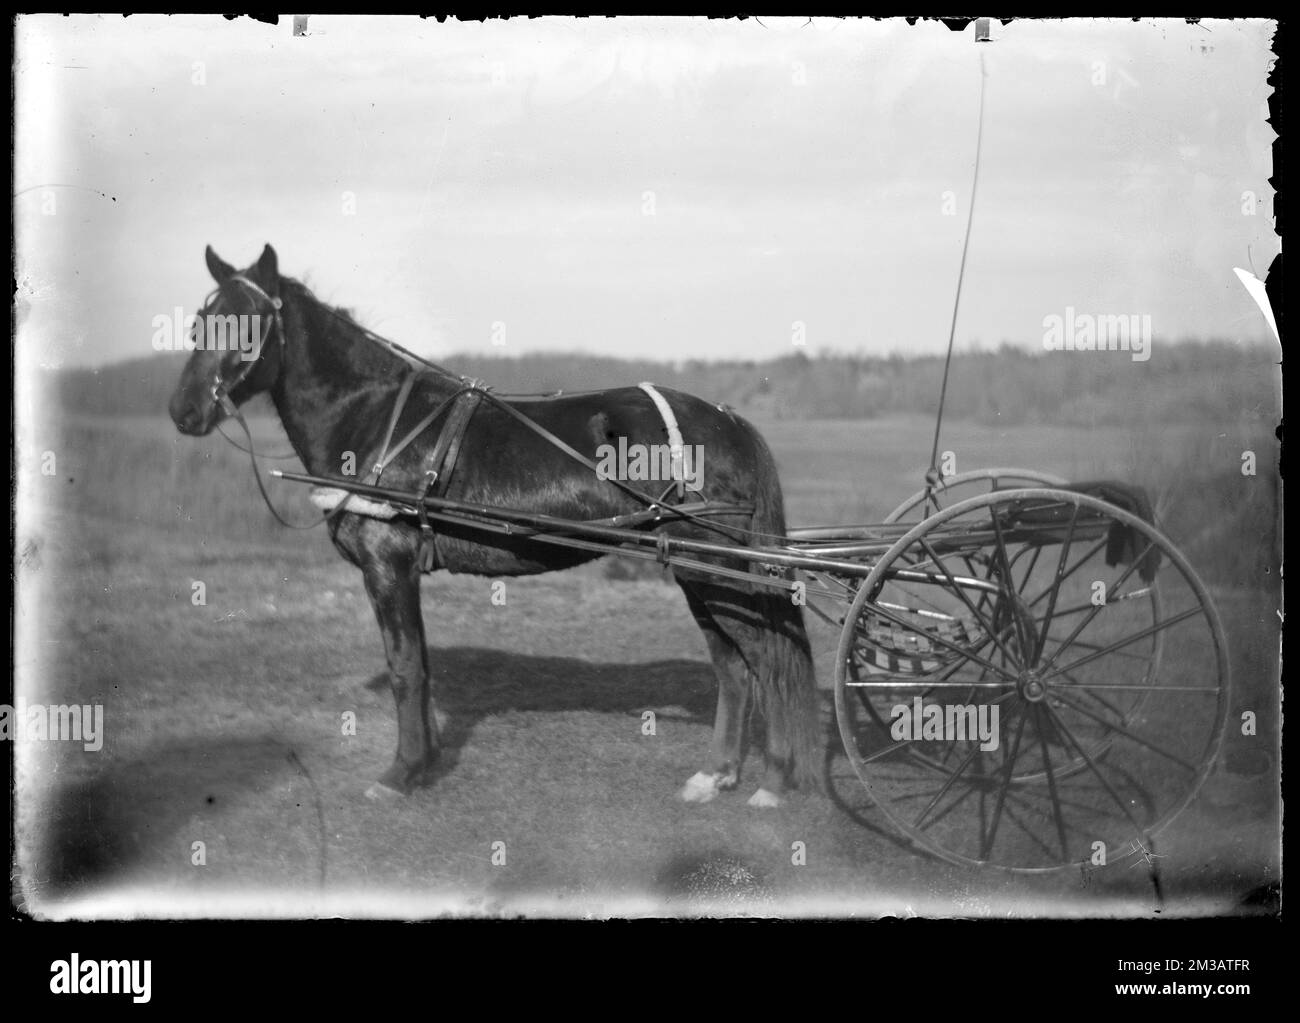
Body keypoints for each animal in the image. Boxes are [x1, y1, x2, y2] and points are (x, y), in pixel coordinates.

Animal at [168, 243, 821, 807]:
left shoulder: (387, 567)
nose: (184, 411)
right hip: (696, 571)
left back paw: (775, 780)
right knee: (732, 668)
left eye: (247, 324)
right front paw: (426, 762)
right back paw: (717, 774)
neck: (373, 418)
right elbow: (421, 664)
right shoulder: (403, 572)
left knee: (767, 659)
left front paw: (401, 774)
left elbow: (405, 669)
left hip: (716, 568)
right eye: (201, 322)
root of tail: (729, 419)